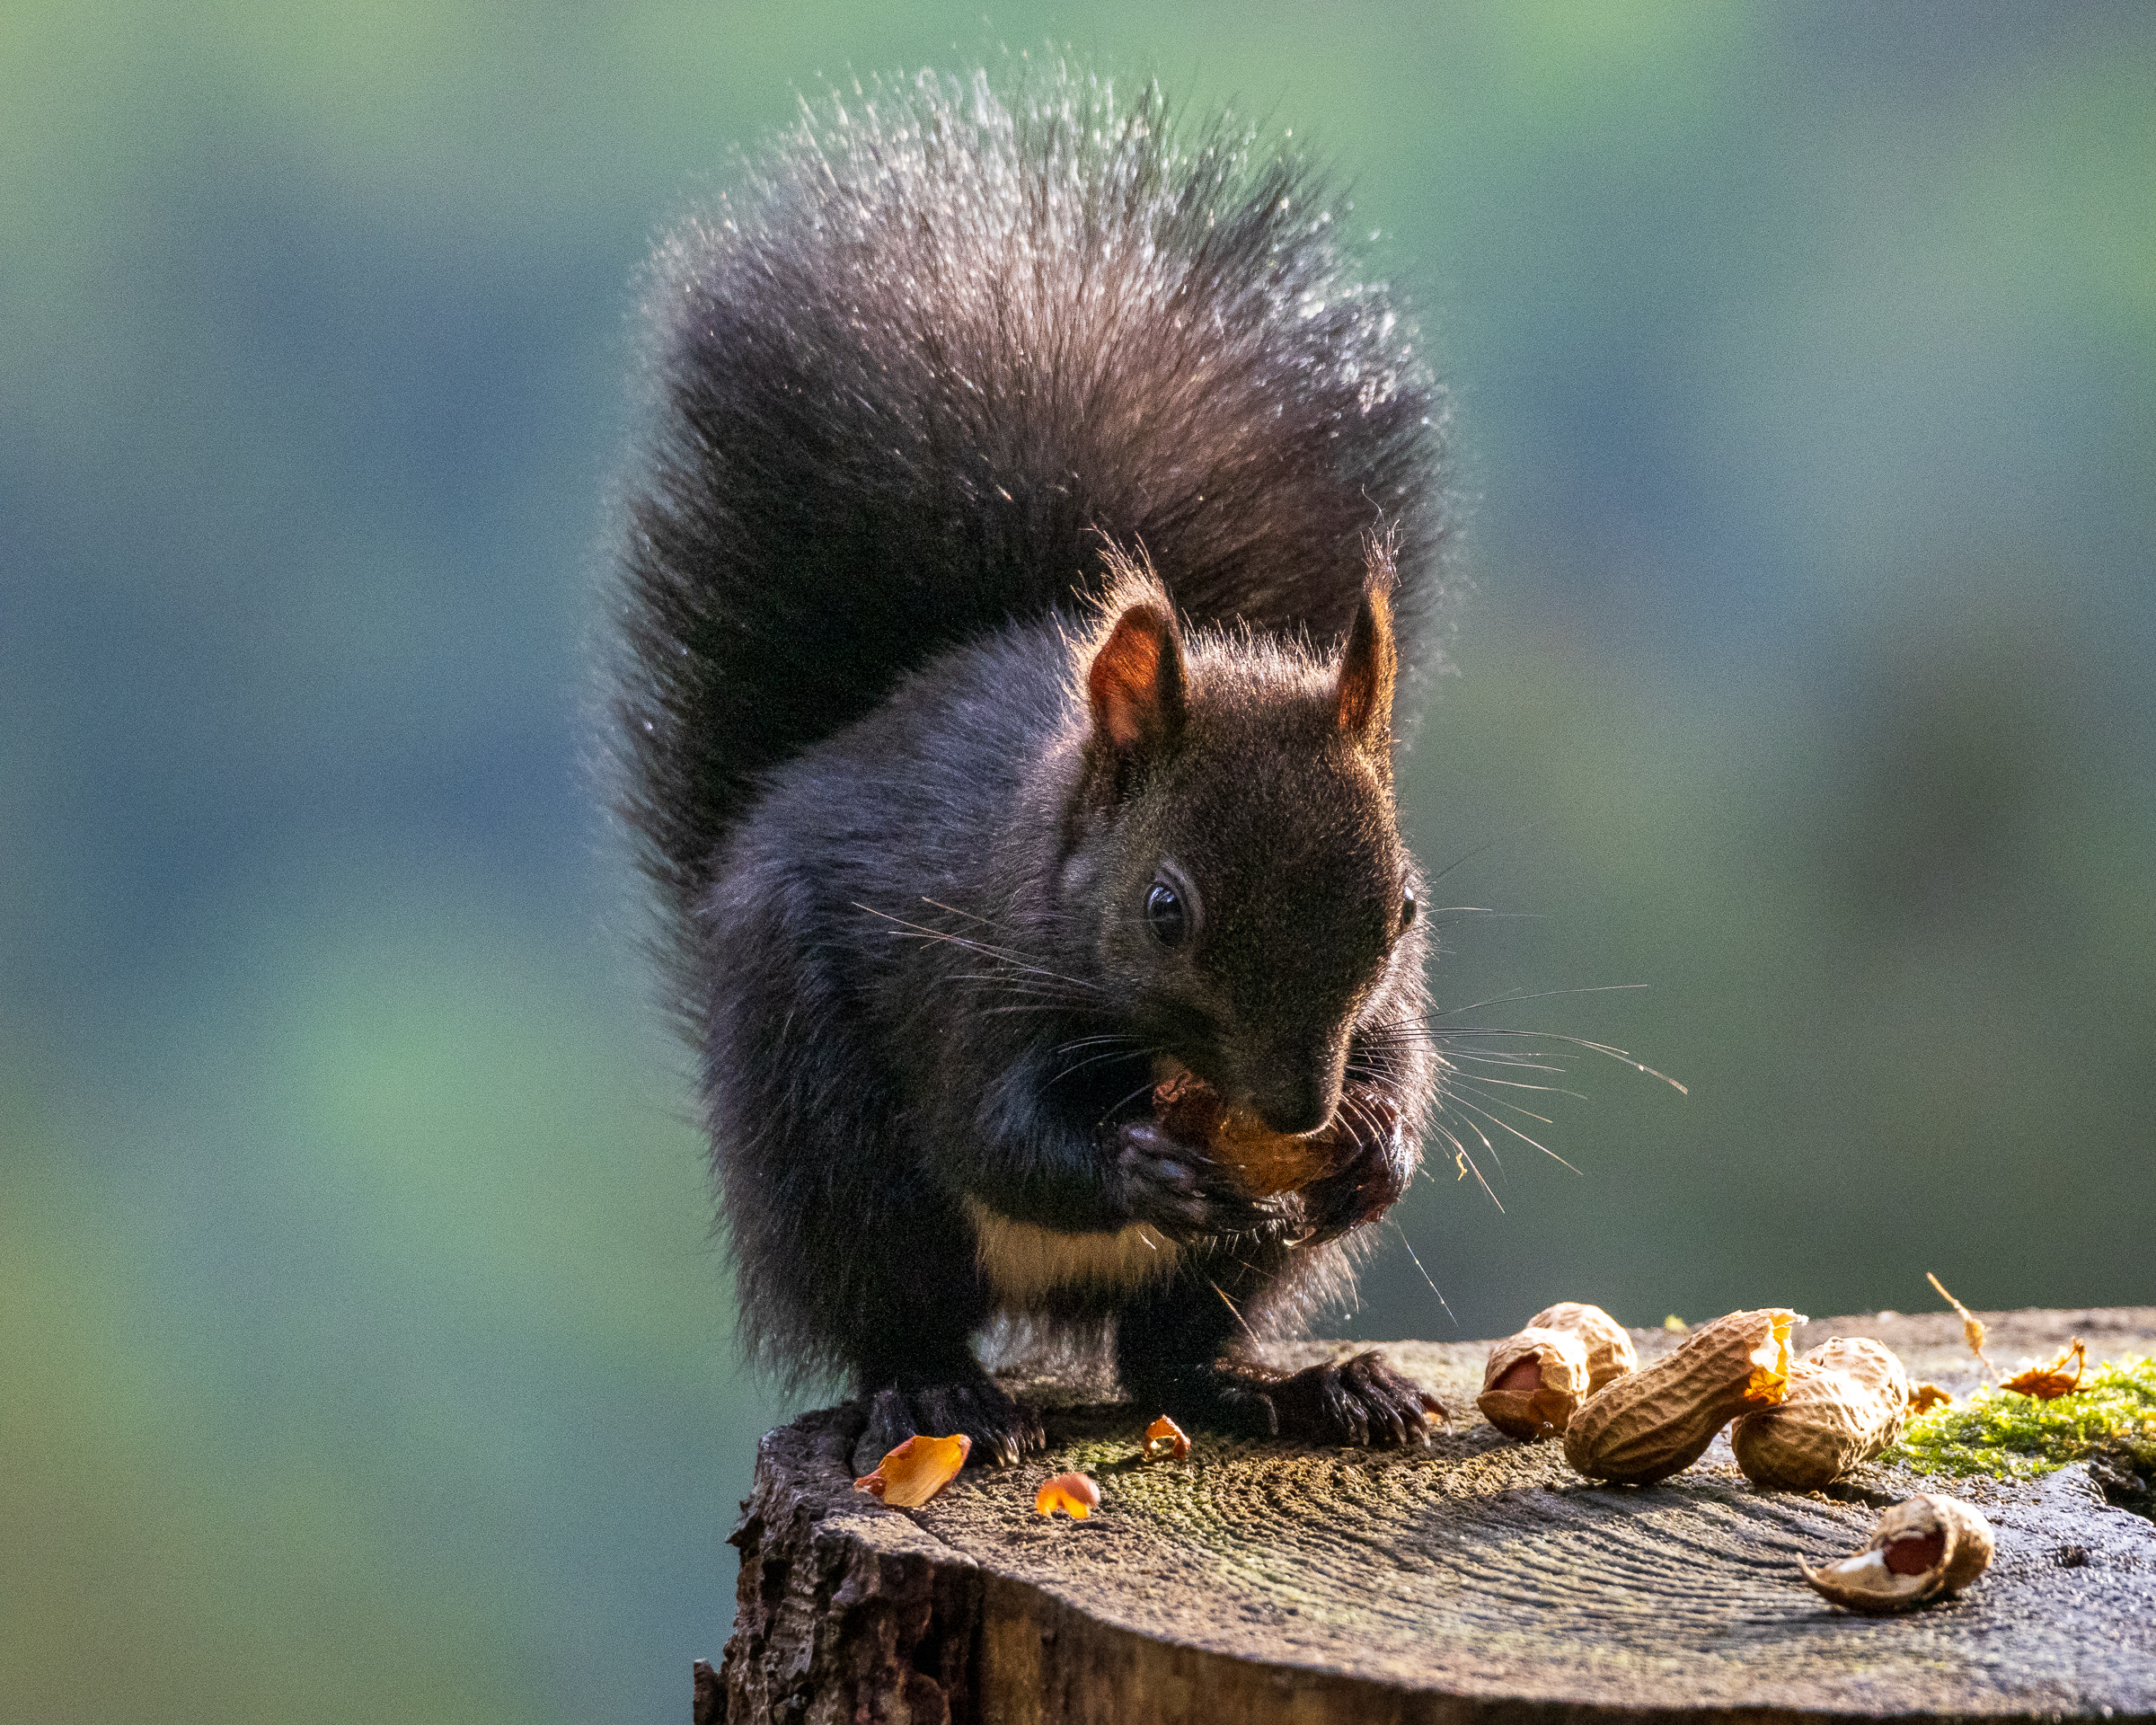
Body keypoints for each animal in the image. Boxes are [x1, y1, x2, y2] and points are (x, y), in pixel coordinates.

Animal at [609, 64, 1451, 1471]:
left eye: (1404, 910)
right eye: (1165, 909)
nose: (1295, 1113)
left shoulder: (1386, 1011)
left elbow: (1405, 1063)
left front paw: (1378, 1145)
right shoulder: (966, 976)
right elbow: (995, 1131)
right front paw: (1131, 1166)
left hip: (1222, 1271)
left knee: (1173, 1352)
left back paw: (1294, 1386)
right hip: (821, 1132)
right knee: (896, 1305)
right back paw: (936, 1396)